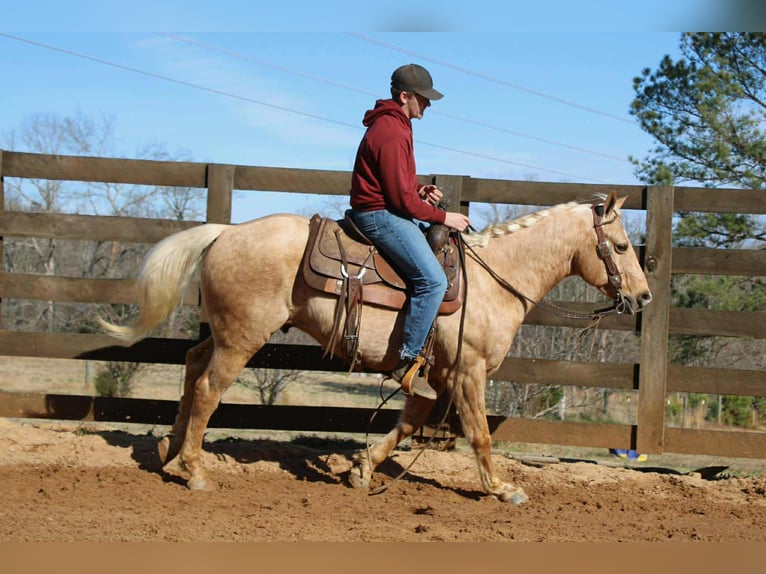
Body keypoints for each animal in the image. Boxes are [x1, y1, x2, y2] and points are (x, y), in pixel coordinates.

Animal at [100, 191, 651, 504]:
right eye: (623, 247)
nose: (643, 296)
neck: (493, 280)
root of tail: (224, 234)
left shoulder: (435, 376)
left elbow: (408, 423)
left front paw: (362, 469)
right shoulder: (468, 372)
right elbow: (478, 434)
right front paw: (502, 489)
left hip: (222, 333)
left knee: (192, 367)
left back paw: (170, 452)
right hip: (241, 338)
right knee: (209, 389)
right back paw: (194, 471)